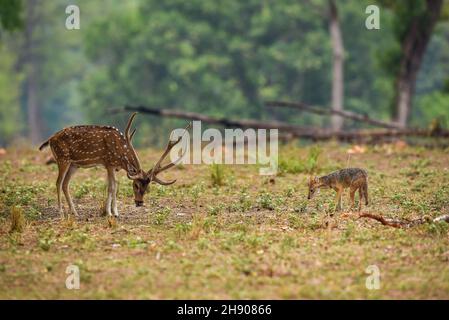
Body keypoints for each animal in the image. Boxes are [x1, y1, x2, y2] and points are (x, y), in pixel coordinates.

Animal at [36, 112, 187, 218]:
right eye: (136, 185)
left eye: (147, 187)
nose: (139, 203)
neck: (120, 156)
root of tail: (50, 139)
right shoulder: (108, 163)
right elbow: (112, 187)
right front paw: (110, 213)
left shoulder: (112, 167)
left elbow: (114, 186)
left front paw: (115, 212)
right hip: (62, 159)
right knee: (58, 182)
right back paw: (61, 212)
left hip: (74, 165)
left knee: (65, 184)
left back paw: (75, 212)